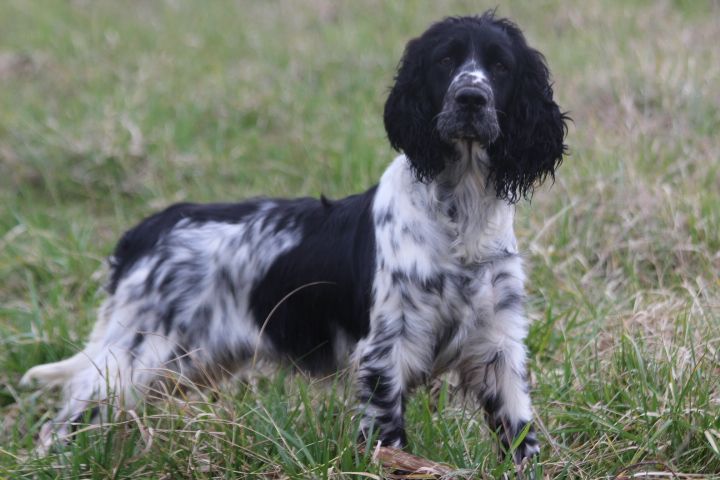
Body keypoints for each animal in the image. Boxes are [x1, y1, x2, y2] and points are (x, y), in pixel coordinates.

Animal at [22, 12, 568, 464]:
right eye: (445, 61)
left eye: (500, 66)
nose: (471, 98)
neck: (460, 213)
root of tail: (147, 231)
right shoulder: (385, 353)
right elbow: (388, 440)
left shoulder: (498, 347)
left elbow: (521, 436)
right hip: (131, 359)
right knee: (63, 424)